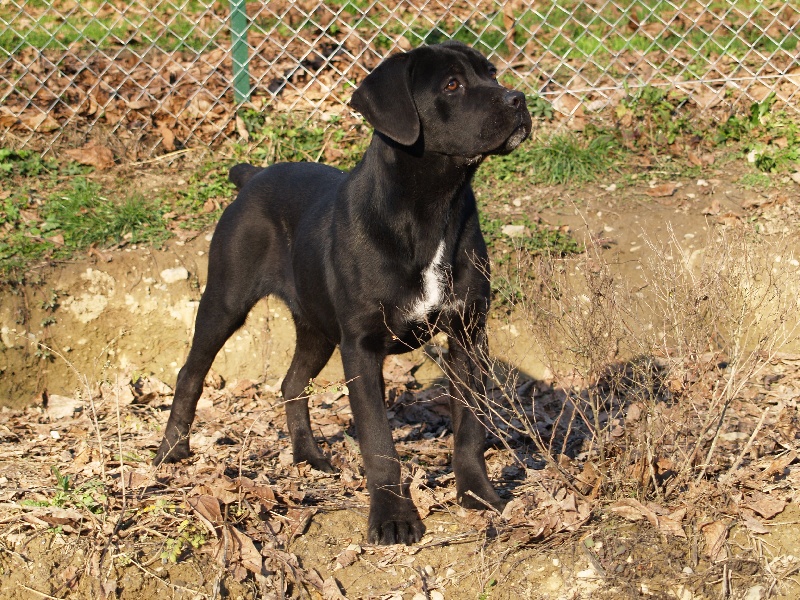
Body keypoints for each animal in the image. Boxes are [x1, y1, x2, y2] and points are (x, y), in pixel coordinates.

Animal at [155, 42, 532, 548]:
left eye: (491, 72)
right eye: (452, 84)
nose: (518, 99)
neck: (431, 207)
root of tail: (252, 176)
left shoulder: (468, 334)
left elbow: (470, 427)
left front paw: (479, 495)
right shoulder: (362, 346)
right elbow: (378, 442)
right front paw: (393, 518)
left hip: (316, 326)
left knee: (291, 383)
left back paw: (309, 456)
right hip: (225, 303)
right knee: (190, 373)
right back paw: (171, 451)